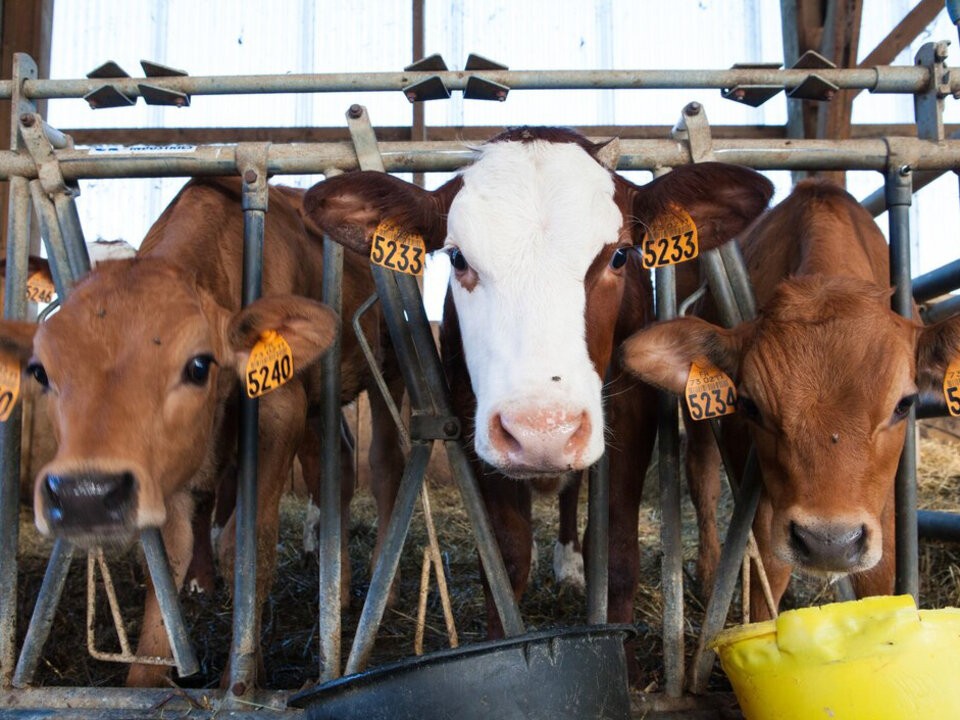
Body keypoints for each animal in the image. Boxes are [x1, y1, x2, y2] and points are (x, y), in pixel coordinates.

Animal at [0, 176, 404, 688]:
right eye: (40, 371)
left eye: (197, 366)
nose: (84, 495)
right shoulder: (169, 461)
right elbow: (167, 557)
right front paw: (148, 677)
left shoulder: (279, 411)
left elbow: (247, 546)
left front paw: (245, 675)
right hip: (320, 398)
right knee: (334, 469)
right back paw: (342, 589)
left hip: (391, 362)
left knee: (386, 463)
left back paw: (381, 587)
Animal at [304, 125, 776, 676]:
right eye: (458, 257)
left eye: (619, 255)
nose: (542, 431)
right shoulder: (472, 418)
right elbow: (505, 560)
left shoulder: (632, 417)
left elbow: (617, 551)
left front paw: (627, 667)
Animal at [624, 179, 960, 620]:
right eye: (751, 405)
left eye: (904, 403)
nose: (828, 542)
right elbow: (769, 573)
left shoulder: (882, 497)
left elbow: (878, 576)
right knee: (702, 477)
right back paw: (711, 574)